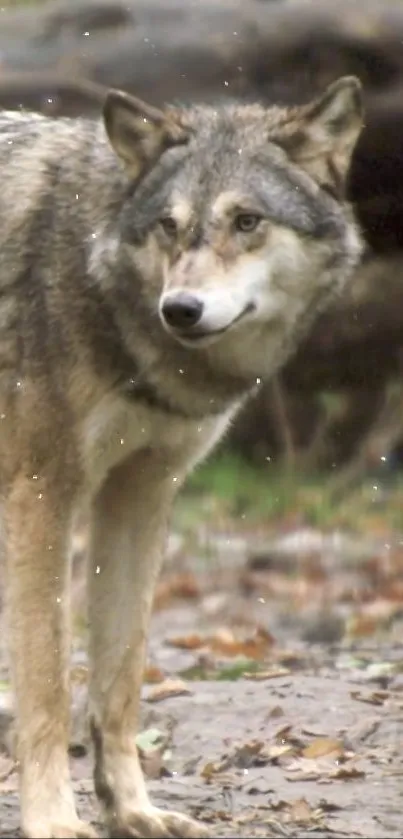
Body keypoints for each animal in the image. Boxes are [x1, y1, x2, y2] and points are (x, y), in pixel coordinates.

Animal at [0, 75, 364, 836]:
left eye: (247, 221)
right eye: (168, 225)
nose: (182, 309)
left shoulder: (140, 493)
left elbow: (120, 679)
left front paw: (131, 809)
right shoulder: (41, 492)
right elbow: (48, 683)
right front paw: (54, 820)